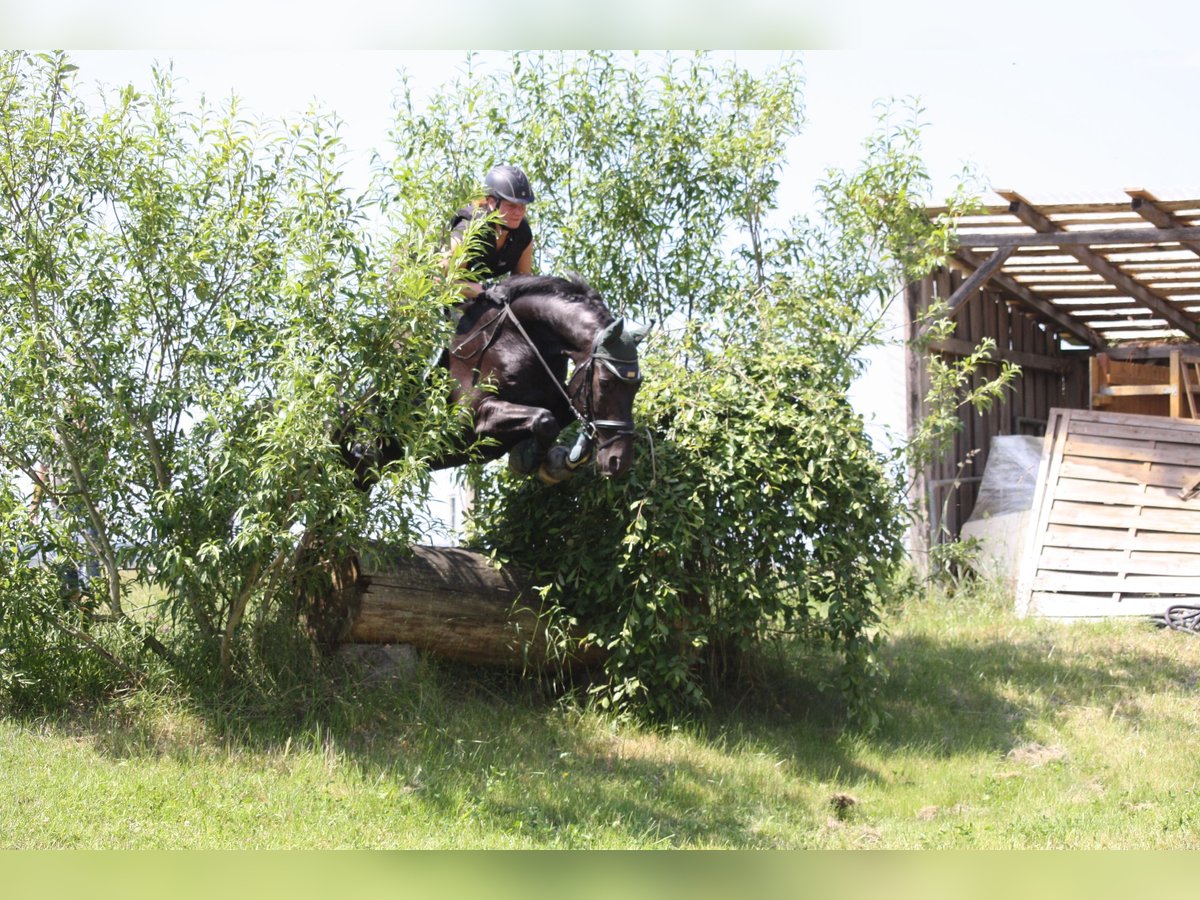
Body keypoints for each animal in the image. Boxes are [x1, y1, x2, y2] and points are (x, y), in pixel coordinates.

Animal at [343, 273, 652, 489]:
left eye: (637, 386)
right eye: (606, 382)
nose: (619, 461)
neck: (520, 340)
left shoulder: (560, 398)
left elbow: (560, 416)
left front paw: (558, 462)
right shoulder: (471, 419)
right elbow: (544, 419)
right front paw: (526, 459)